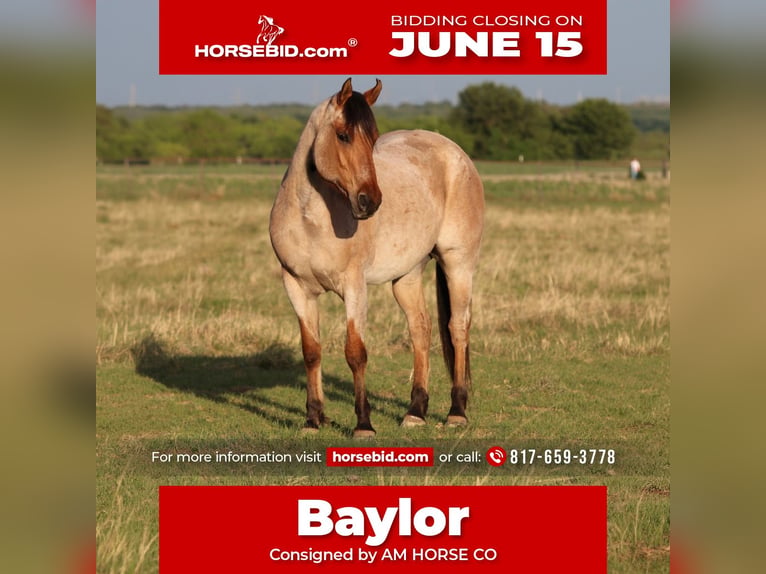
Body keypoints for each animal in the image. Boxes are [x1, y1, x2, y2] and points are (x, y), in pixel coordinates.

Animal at [269, 78, 484, 438]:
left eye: (373, 138)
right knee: (420, 328)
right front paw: (313, 419)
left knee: (457, 327)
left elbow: (356, 353)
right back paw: (415, 411)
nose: (369, 201)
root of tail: (455, 152)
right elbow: (311, 351)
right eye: (343, 135)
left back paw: (456, 411)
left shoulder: (354, 287)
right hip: (407, 275)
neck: (311, 218)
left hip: (458, 263)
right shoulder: (296, 287)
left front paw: (363, 424)